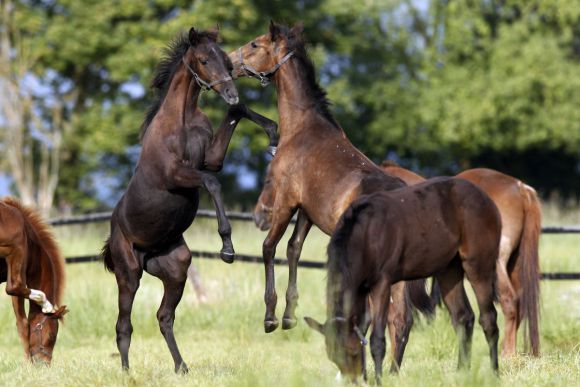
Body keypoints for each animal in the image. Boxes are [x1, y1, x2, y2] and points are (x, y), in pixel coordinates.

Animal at [102, 27, 278, 372]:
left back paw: (181, 367)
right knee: (123, 325)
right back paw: (128, 372)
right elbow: (212, 183)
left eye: (226, 61)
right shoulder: (176, 174)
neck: (181, 121)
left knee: (164, 317)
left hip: (176, 268)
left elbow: (235, 116)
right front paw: (227, 248)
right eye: (204, 60)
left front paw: (273, 132)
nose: (231, 92)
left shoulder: (210, 159)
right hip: (128, 274)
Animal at [306, 179, 500, 384]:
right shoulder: (360, 289)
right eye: (332, 357)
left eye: (352, 352)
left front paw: (379, 380)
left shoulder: (382, 283)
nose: (353, 381)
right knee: (463, 317)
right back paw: (462, 373)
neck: (364, 234)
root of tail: (486, 198)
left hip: (478, 266)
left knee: (488, 318)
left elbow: (377, 339)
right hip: (449, 270)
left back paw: (494, 373)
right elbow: (364, 328)